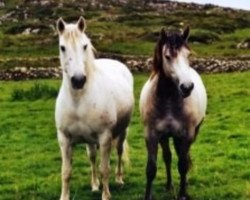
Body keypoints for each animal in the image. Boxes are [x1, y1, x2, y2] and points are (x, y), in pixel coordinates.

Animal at [54, 16, 134, 200]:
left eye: (84, 46)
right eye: (62, 47)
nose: (78, 80)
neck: (79, 101)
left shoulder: (105, 137)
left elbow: (105, 169)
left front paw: (106, 195)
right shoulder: (64, 139)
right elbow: (66, 172)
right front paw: (64, 196)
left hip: (121, 132)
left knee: (119, 152)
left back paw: (119, 179)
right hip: (89, 140)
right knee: (92, 158)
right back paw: (95, 184)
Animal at [139, 27, 207, 200]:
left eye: (188, 55)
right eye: (167, 56)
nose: (187, 87)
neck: (169, 101)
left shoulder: (187, 135)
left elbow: (182, 165)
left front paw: (183, 194)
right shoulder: (152, 135)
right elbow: (151, 169)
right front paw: (148, 195)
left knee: (184, 158)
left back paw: (185, 185)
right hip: (165, 137)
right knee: (168, 157)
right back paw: (169, 185)